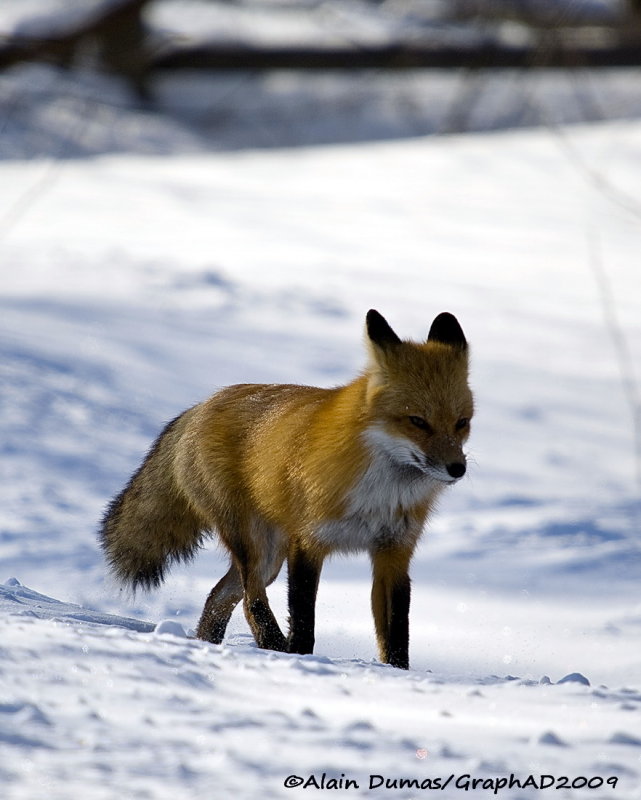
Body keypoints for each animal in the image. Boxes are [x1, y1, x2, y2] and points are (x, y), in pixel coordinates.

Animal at [99, 312, 470, 668]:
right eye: (417, 421)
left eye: (462, 423)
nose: (458, 469)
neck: (381, 493)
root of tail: (202, 404)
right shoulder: (308, 542)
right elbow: (304, 618)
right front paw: (303, 659)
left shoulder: (394, 552)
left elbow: (396, 632)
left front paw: (397, 672)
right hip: (257, 544)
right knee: (250, 599)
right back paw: (275, 646)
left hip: (270, 557)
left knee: (219, 596)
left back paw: (211, 644)